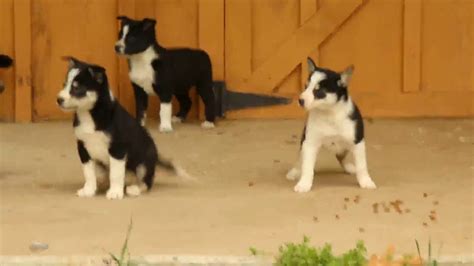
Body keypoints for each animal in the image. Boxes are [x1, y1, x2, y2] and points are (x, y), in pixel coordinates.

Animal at [56, 57, 188, 201]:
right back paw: (102, 183)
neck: (89, 115)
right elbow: (89, 173)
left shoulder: (117, 149)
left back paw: (134, 189)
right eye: (64, 84)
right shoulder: (83, 149)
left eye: (77, 88)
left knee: (146, 182)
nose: (59, 99)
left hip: (143, 162)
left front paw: (115, 192)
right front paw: (88, 190)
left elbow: (116, 174)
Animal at [286, 58, 378, 192]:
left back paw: (349, 167)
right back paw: (294, 171)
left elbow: (362, 166)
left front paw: (365, 181)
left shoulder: (358, 142)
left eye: (319, 91)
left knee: (341, 157)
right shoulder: (310, 144)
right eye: (305, 86)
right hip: (304, 142)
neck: (329, 114)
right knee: (301, 158)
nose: (300, 100)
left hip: (345, 146)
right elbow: (307, 167)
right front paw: (304, 184)